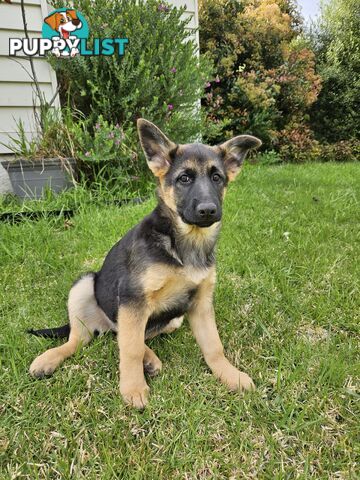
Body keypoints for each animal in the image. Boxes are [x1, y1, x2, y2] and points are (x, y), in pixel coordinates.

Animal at [29, 120, 260, 408]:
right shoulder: (133, 298)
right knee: (85, 339)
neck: (184, 242)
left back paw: (150, 359)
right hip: (85, 286)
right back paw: (48, 359)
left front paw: (230, 375)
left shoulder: (201, 303)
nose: (208, 210)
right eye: (184, 178)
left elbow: (213, 346)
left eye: (217, 178)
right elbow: (130, 349)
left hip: (174, 318)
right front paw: (133, 388)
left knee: (127, 335)